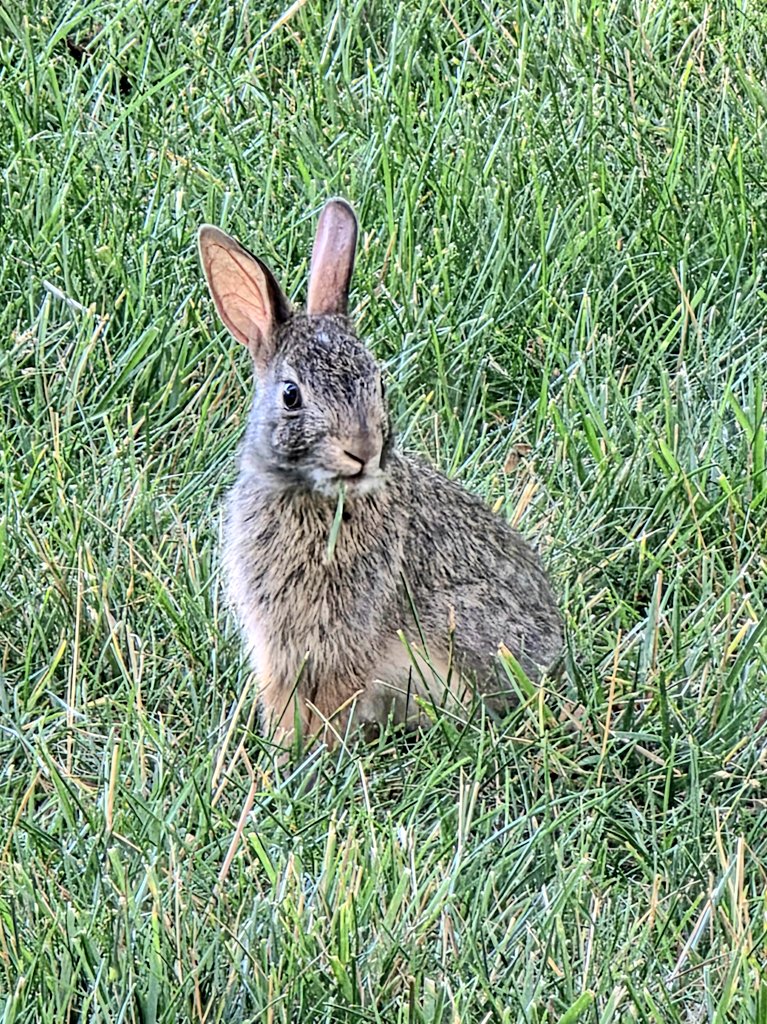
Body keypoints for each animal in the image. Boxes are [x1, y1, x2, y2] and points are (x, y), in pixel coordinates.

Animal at [198, 199, 563, 750]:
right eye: (291, 395)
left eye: (379, 385)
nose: (363, 451)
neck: (315, 498)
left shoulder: (345, 641)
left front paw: (307, 756)